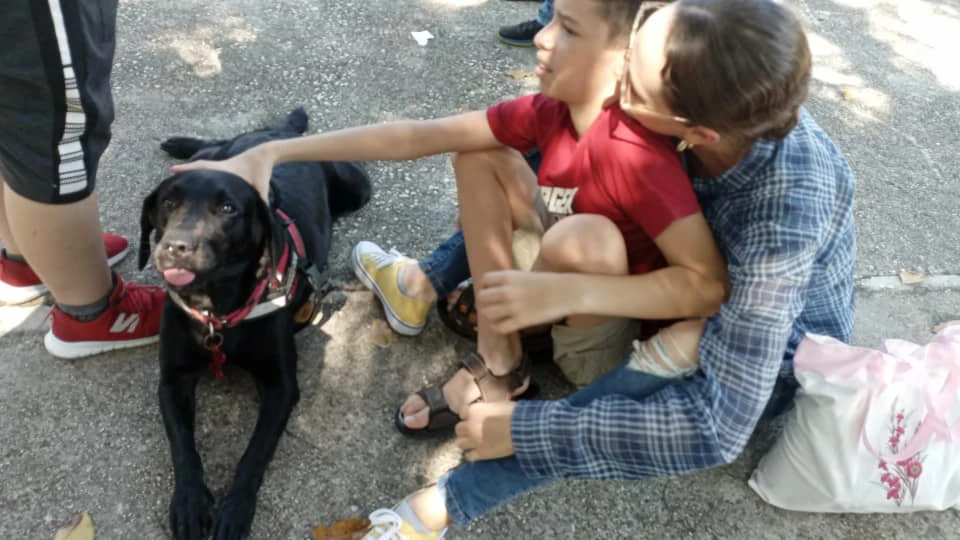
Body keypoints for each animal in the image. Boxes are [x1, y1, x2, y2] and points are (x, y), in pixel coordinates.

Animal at [139, 107, 372, 536]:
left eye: (228, 209)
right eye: (167, 203)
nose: (175, 247)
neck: (216, 309)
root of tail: (279, 133)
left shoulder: (281, 387)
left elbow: (254, 453)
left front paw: (236, 509)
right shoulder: (172, 381)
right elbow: (182, 445)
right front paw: (190, 502)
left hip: (357, 185)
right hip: (219, 153)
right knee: (210, 145)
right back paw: (181, 143)